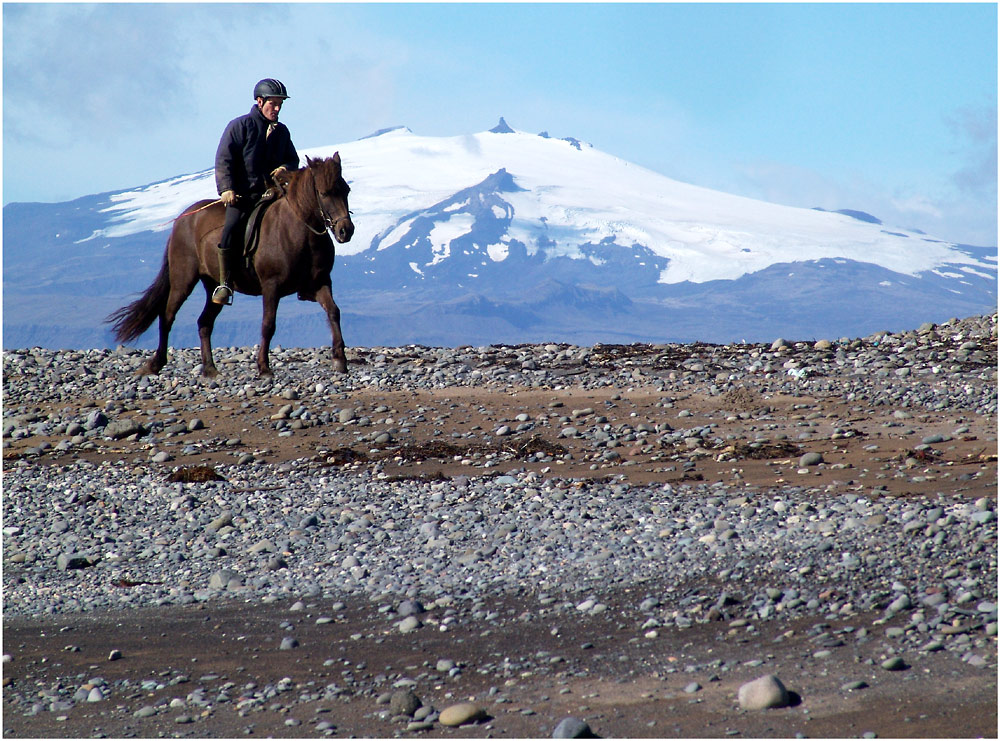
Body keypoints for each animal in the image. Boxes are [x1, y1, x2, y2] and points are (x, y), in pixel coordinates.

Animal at [105, 155, 354, 376]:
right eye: (324, 193)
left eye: (346, 190)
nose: (346, 231)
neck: (299, 232)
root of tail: (184, 218)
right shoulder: (271, 287)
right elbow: (268, 325)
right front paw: (264, 368)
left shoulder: (320, 282)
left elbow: (334, 312)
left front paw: (340, 360)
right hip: (182, 280)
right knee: (167, 316)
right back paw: (155, 364)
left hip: (213, 287)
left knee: (204, 322)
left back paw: (210, 369)